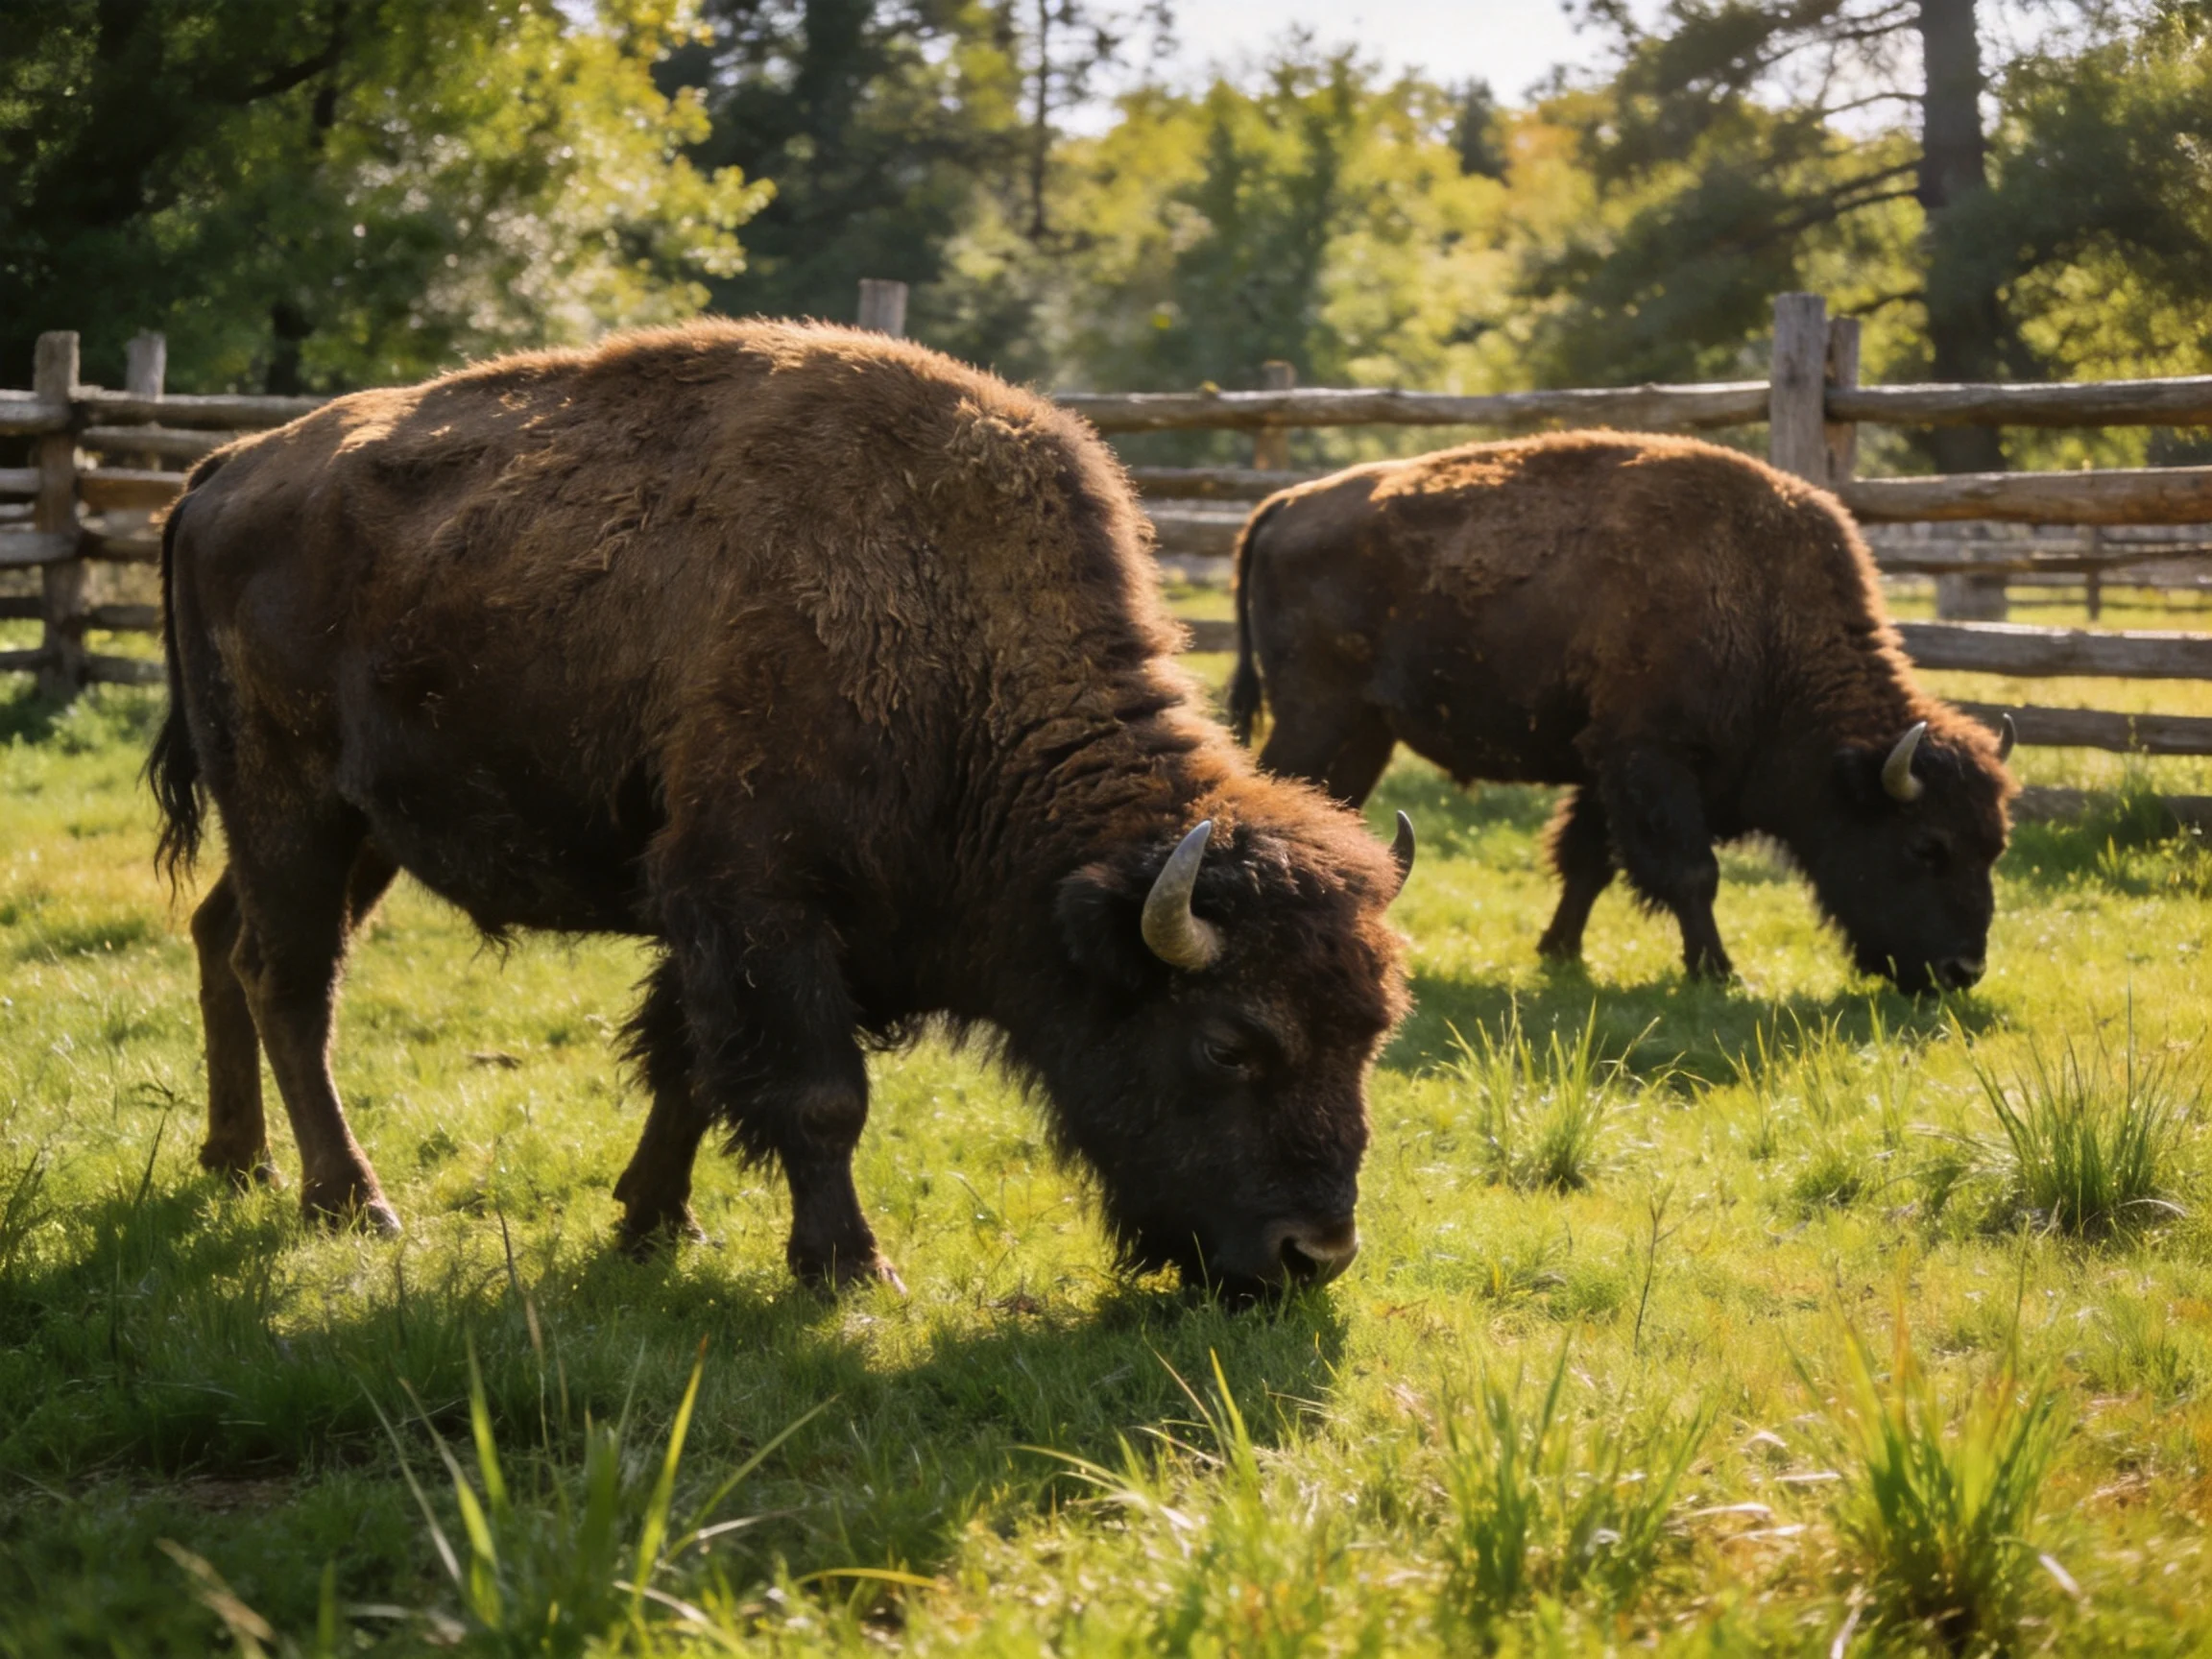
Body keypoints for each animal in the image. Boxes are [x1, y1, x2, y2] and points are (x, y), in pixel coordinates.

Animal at [151, 320, 1413, 1298]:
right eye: (1230, 1042)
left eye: (1372, 1031)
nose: (1314, 1256)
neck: (950, 637)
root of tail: (225, 469)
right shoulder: (758, 899)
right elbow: (817, 1096)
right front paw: (850, 1266)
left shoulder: (709, 913)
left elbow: (688, 1067)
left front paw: (657, 1223)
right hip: (289, 804)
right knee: (290, 981)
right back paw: (348, 1201)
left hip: (360, 831)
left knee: (223, 939)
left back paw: (237, 1163)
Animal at [1227, 431, 2014, 993]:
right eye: (1927, 846)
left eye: (1994, 845)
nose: (1963, 972)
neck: (1763, 611)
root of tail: (1284, 506)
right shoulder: (1651, 758)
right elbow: (1691, 872)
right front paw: (1717, 971)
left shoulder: (1604, 767)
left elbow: (1589, 863)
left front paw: (1559, 952)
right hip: (1317, 717)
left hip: (1366, 732)